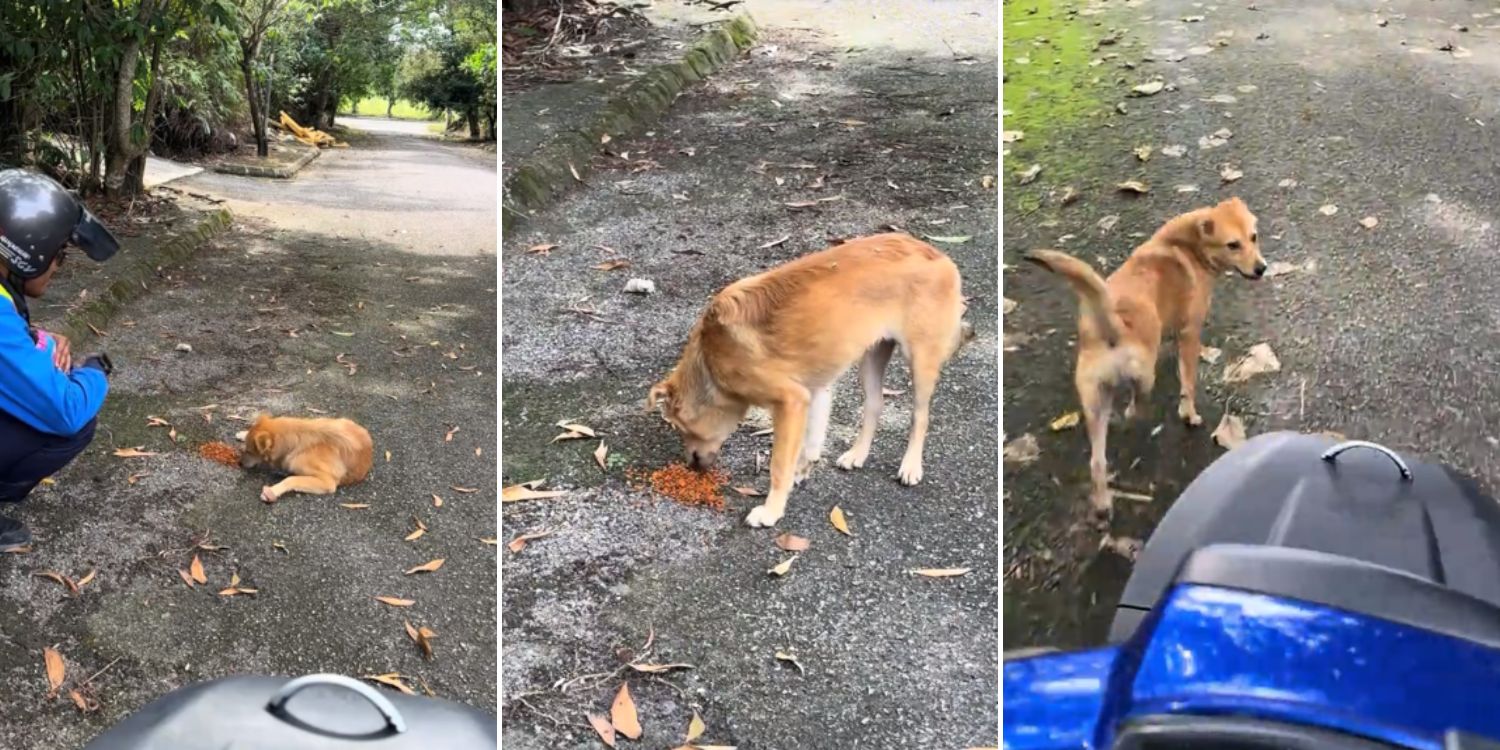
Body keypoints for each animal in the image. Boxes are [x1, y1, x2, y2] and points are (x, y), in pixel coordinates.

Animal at [648, 232, 972, 528]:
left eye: (681, 428)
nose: (690, 465)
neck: (710, 358)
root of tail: (938, 255)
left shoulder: (790, 400)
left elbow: (779, 464)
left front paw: (772, 510)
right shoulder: (814, 391)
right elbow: (813, 441)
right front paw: (803, 469)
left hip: (920, 360)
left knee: (920, 416)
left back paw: (911, 465)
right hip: (871, 356)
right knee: (874, 405)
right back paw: (858, 453)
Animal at [1032, 196, 1266, 519]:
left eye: (1253, 237)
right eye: (1233, 244)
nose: (1261, 269)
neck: (1189, 244)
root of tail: (1113, 323)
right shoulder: (1189, 334)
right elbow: (1188, 383)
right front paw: (1189, 414)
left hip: (1094, 402)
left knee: (1097, 462)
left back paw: (1103, 504)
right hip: (1143, 378)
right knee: (1135, 408)